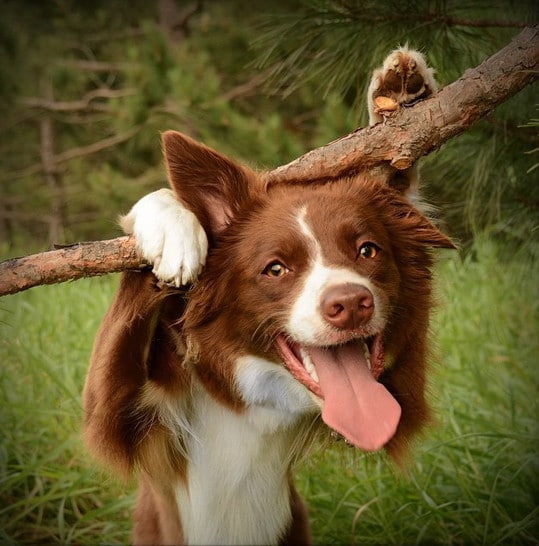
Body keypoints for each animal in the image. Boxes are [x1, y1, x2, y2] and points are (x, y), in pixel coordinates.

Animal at [84, 47, 454, 544]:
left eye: (367, 250)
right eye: (275, 269)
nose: (350, 306)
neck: (255, 402)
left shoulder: (400, 396)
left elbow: (394, 173)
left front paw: (398, 96)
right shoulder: (122, 418)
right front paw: (173, 228)